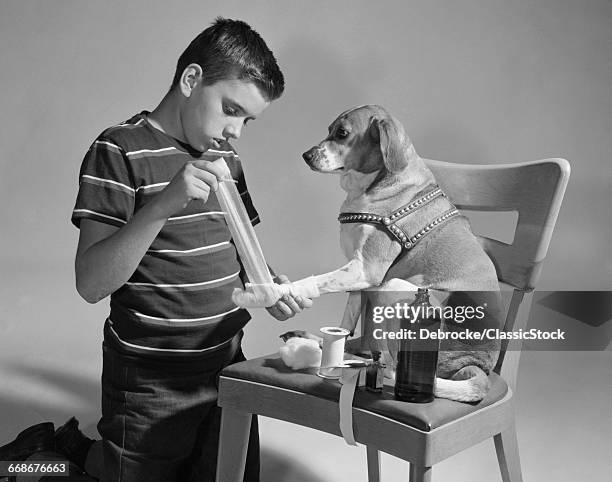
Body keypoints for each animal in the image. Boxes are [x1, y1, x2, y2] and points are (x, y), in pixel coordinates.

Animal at [294, 105, 504, 402]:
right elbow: (344, 325)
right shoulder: (359, 281)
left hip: (391, 290)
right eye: (329, 130)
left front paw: (281, 291)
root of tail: (478, 365)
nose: (306, 155)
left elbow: (312, 282)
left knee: (391, 368)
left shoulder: (365, 271)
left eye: (342, 133)